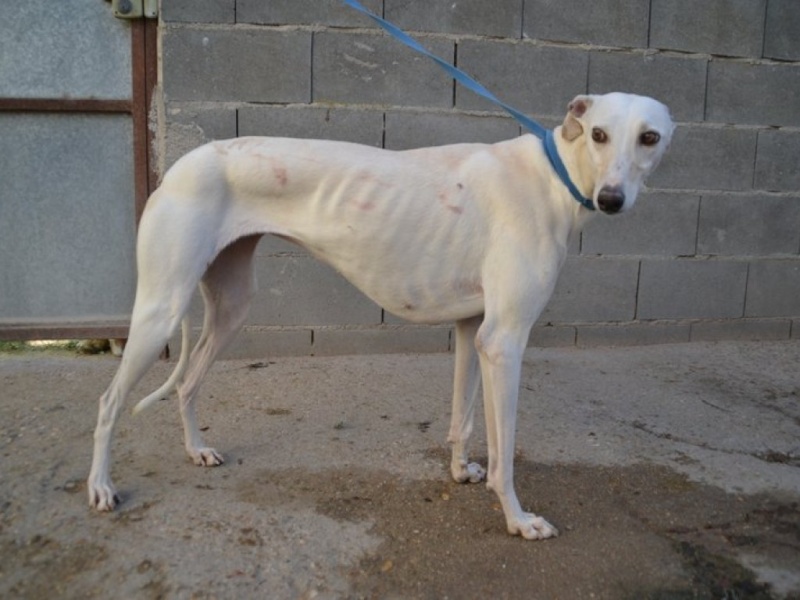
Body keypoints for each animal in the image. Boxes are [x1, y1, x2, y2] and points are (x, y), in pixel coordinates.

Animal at [89, 92, 676, 540]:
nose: (612, 198)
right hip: (161, 310)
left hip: (231, 306)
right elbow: (505, 453)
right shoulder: (505, 341)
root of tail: (181, 165)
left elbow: (462, 419)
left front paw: (460, 470)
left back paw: (196, 451)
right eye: (598, 133)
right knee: (110, 400)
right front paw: (518, 518)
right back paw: (100, 486)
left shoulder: (474, 331)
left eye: (650, 137)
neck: (554, 177)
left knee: (188, 383)